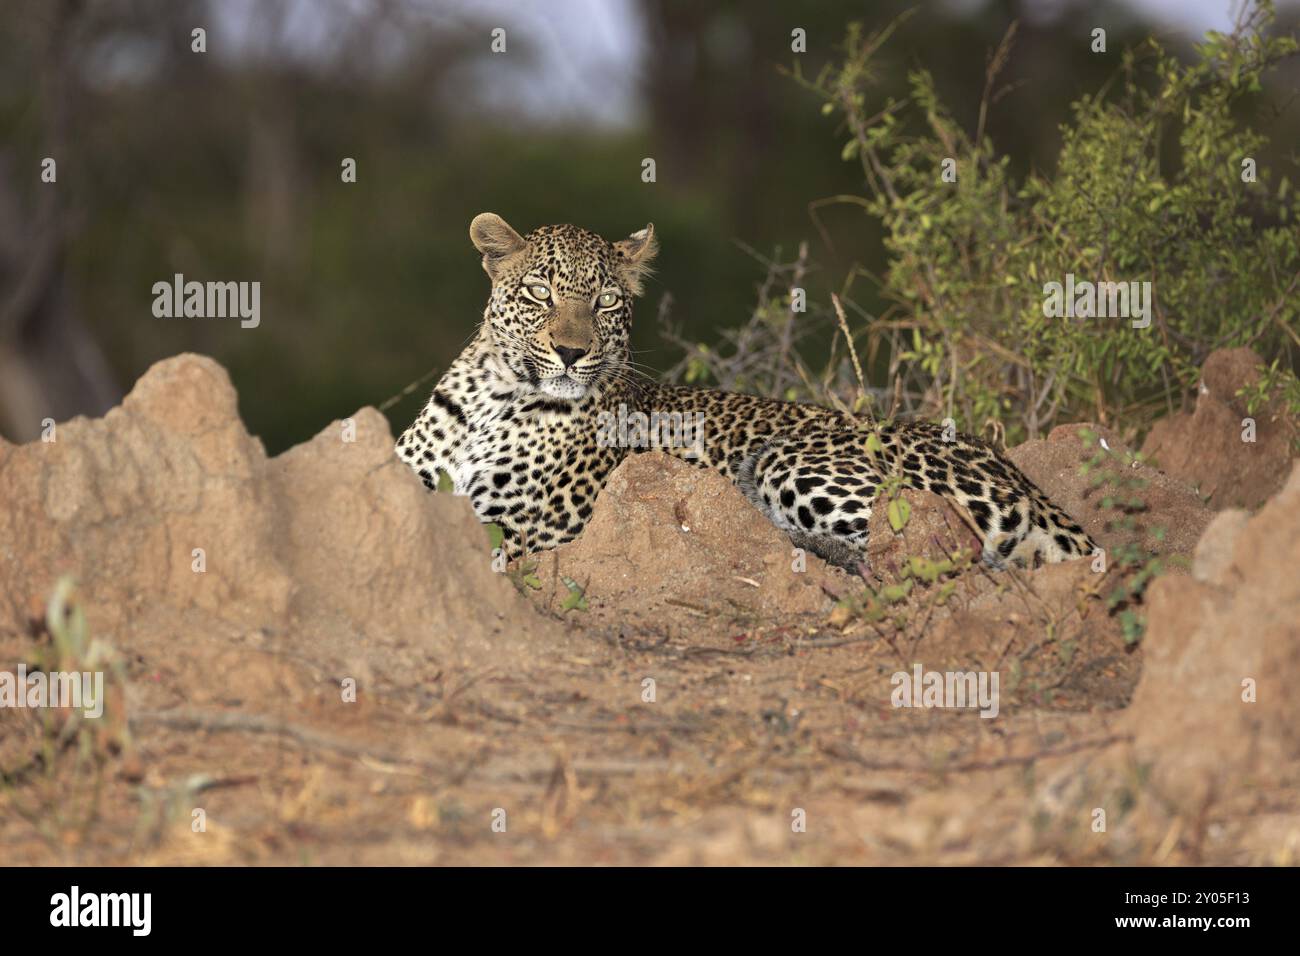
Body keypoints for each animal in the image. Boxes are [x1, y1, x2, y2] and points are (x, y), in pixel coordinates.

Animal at [395, 213, 1097, 572]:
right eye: (540, 292)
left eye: (607, 303)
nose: (571, 352)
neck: (493, 397)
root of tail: (1022, 477)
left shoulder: (529, 526)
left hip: (793, 460)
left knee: (935, 552)